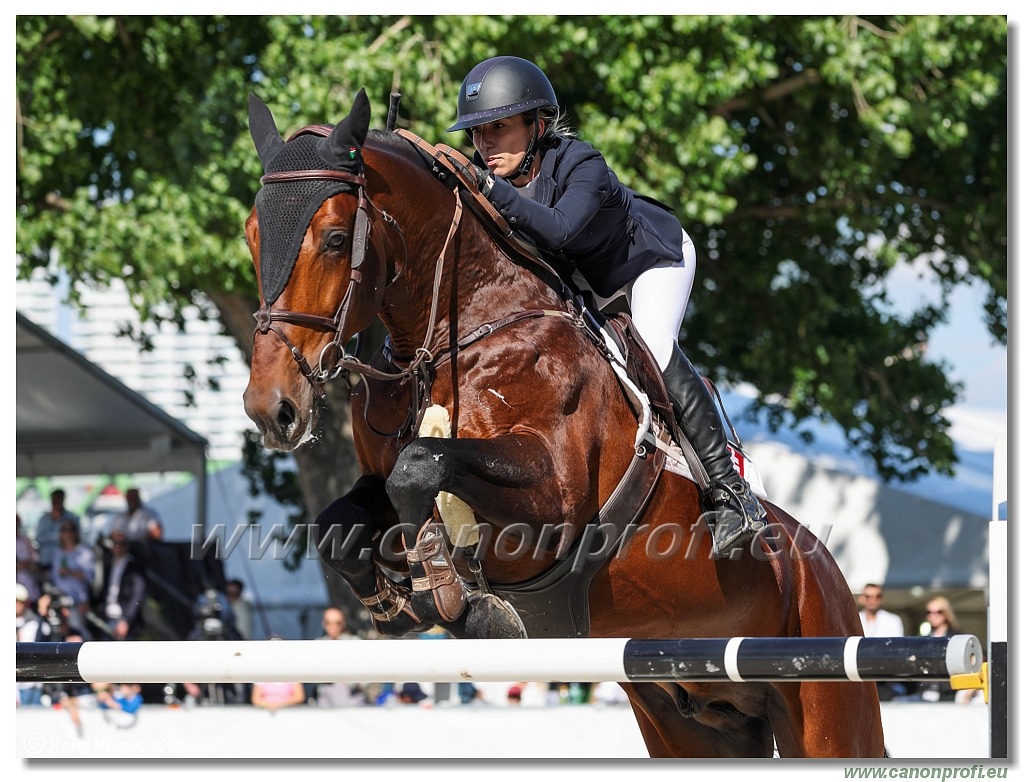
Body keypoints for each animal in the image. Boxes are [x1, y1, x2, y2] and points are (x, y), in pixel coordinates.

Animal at [243, 90, 884, 757]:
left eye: (336, 238)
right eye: (251, 236)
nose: (272, 408)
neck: (456, 334)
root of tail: (820, 566)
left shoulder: (553, 499)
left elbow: (422, 466)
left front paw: (450, 593)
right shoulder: (379, 474)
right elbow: (341, 518)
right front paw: (395, 602)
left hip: (826, 704)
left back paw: (737, 514)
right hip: (687, 719)